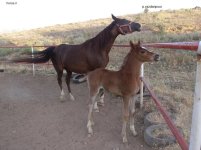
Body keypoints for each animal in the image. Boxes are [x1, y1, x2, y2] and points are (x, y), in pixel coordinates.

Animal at [13, 14, 141, 101]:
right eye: (123, 21)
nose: (138, 25)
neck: (99, 47)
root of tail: (55, 48)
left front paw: (101, 101)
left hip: (69, 70)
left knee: (67, 81)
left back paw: (71, 96)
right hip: (59, 69)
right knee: (59, 80)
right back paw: (62, 96)